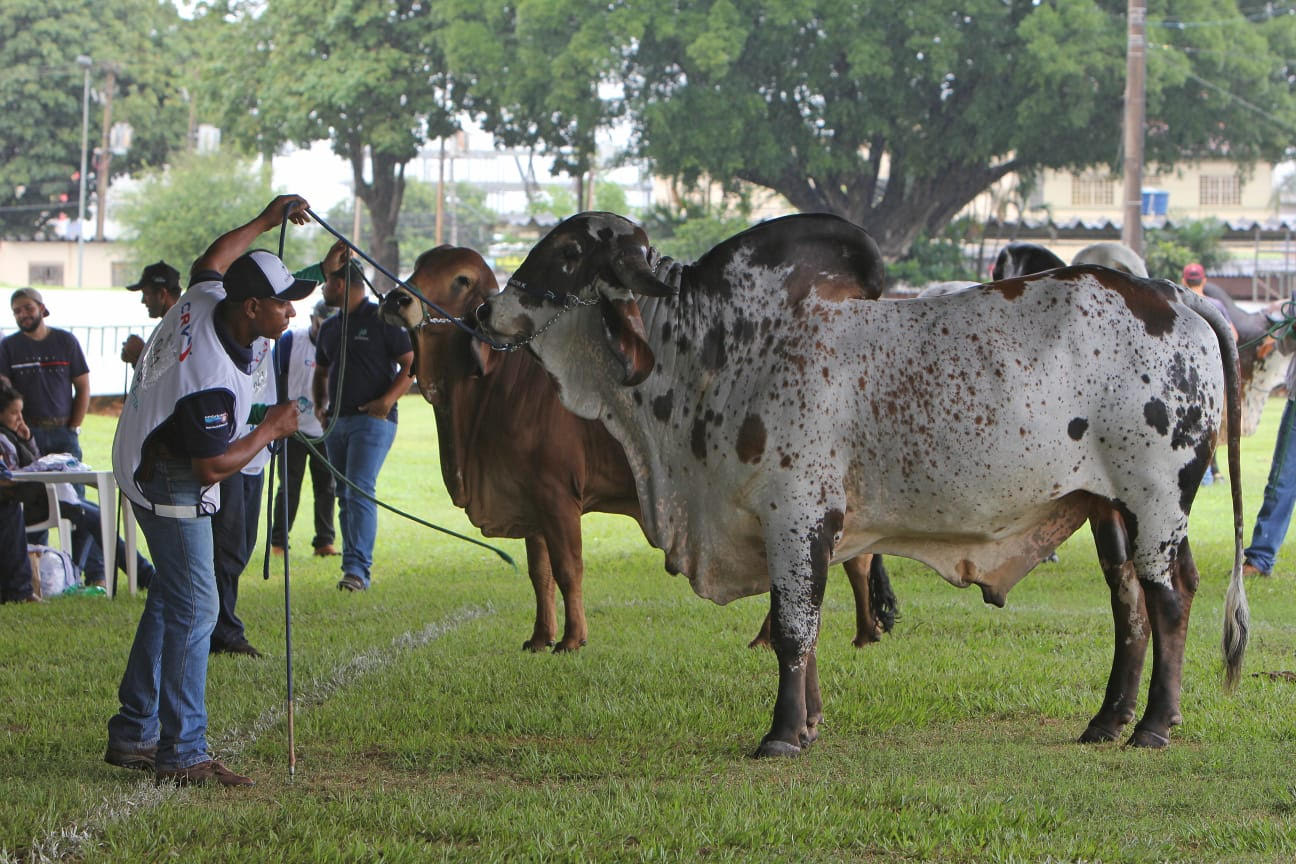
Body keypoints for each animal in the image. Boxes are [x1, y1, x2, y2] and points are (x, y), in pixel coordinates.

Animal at [378, 242, 896, 647]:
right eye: (420, 264)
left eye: (461, 278)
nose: (398, 298)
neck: (493, 388)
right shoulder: (528, 498)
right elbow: (539, 573)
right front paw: (540, 638)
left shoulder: (556, 495)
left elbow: (568, 569)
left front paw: (572, 640)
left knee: (845, 560)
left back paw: (846, 634)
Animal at [476, 211, 1244, 756]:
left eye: (568, 252)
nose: (486, 311)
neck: (716, 346)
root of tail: (1172, 296)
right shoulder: (800, 529)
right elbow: (806, 626)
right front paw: (809, 724)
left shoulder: (796, 516)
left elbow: (793, 628)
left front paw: (781, 736)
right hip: (1109, 509)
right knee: (1128, 603)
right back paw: (1107, 721)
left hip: (1156, 499)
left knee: (1170, 598)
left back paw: (1154, 727)